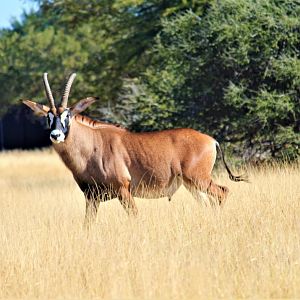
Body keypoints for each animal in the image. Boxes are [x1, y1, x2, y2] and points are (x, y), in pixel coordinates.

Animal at [23, 74, 247, 226]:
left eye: (67, 115)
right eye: (48, 117)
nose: (56, 135)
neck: (91, 145)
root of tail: (211, 140)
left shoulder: (124, 190)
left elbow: (135, 217)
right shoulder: (91, 197)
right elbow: (88, 224)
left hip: (199, 179)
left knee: (222, 193)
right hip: (191, 184)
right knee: (208, 203)